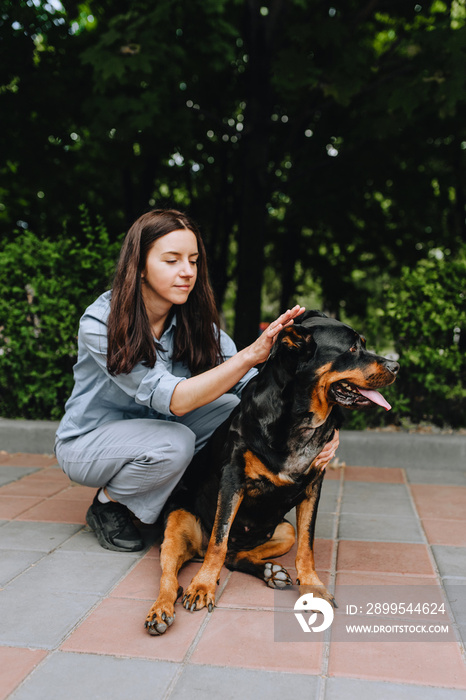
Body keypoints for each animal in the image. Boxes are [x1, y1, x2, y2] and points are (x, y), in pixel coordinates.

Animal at [145, 312, 396, 636]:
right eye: (352, 349)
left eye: (362, 344)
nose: (396, 367)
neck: (299, 420)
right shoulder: (233, 479)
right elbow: (218, 539)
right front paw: (202, 585)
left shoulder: (314, 486)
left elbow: (307, 544)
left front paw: (312, 585)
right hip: (177, 522)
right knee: (173, 572)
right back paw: (161, 609)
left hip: (282, 531)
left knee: (236, 556)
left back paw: (270, 571)